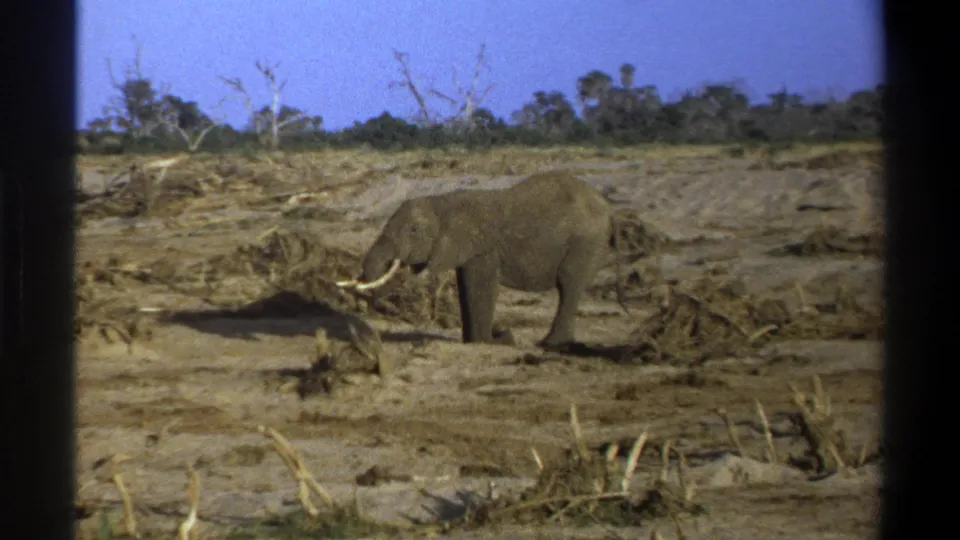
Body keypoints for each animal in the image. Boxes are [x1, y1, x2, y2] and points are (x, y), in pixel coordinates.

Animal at [337, 172, 628, 348]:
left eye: (413, 230)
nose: (367, 306)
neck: (443, 202)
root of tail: (610, 210)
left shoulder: (482, 248)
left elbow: (480, 287)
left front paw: (491, 342)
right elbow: (466, 287)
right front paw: (476, 342)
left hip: (586, 242)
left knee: (568, 285)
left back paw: (549, 344)